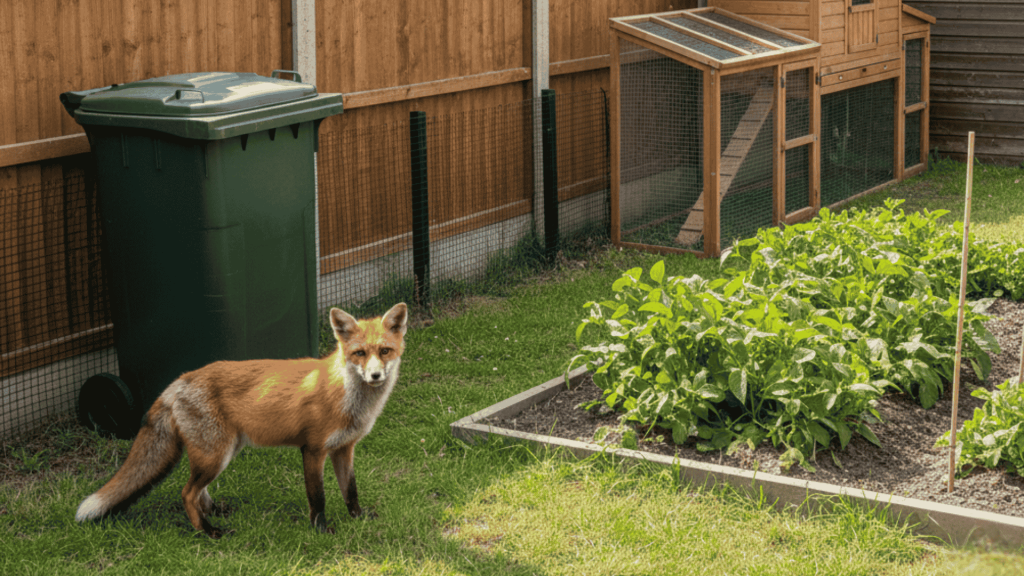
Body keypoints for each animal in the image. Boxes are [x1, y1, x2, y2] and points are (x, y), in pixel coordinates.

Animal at [75, 302, 408, 538]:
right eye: (359, 353)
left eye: (385, 351)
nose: (375, 376)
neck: (347, 396)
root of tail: (177, 382)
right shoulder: (313, 450)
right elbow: (318, 498)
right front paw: (321, 531)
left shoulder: (344, 448)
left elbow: (350, 490)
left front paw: (358, 518)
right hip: (216, 454)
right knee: (186, 493)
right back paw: (207, 531)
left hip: (223, 451)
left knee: (198, 491)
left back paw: (214, 512)